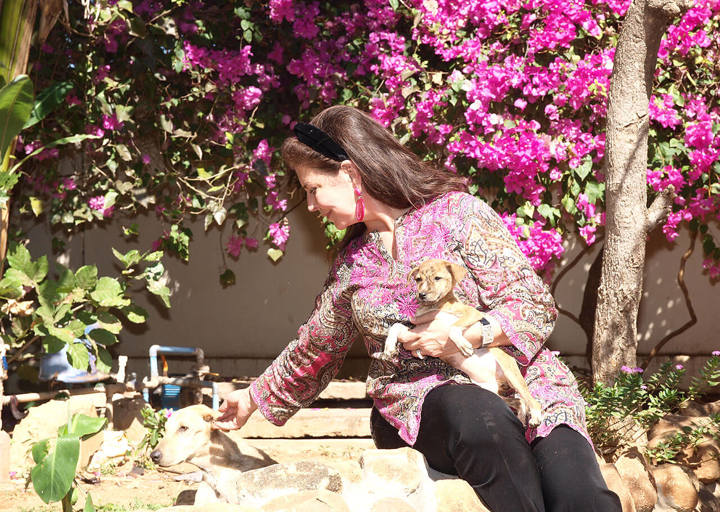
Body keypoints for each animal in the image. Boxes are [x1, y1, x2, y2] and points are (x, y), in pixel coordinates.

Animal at [384, 259, 543, 427]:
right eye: (418, 279)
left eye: (437, 278)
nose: (421, 295)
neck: (434, 306)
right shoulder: (416, 329)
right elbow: (396, 326)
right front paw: (389, 348)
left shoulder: (473, 313)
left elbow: (453, 327)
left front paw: (463, 345)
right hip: (489, 389)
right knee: (519, 401)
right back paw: (521, 418)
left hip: (511, 372)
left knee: (531, 400)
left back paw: (535, 416)